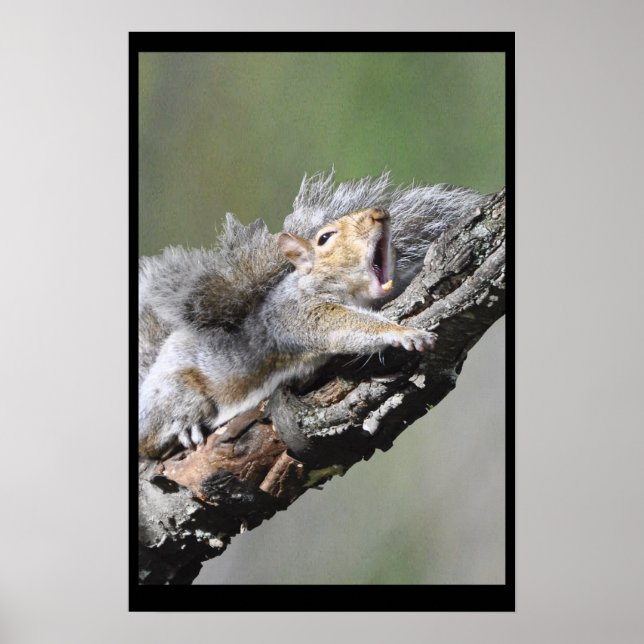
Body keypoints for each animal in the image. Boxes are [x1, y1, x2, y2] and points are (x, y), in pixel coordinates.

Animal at [139, 172, 486, 458]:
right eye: (324, 238)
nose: (379, 214)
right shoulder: (299, 313)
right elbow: (344, 325)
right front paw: (404, 333)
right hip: (174, 393)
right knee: (153, 439)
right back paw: (183, 427)